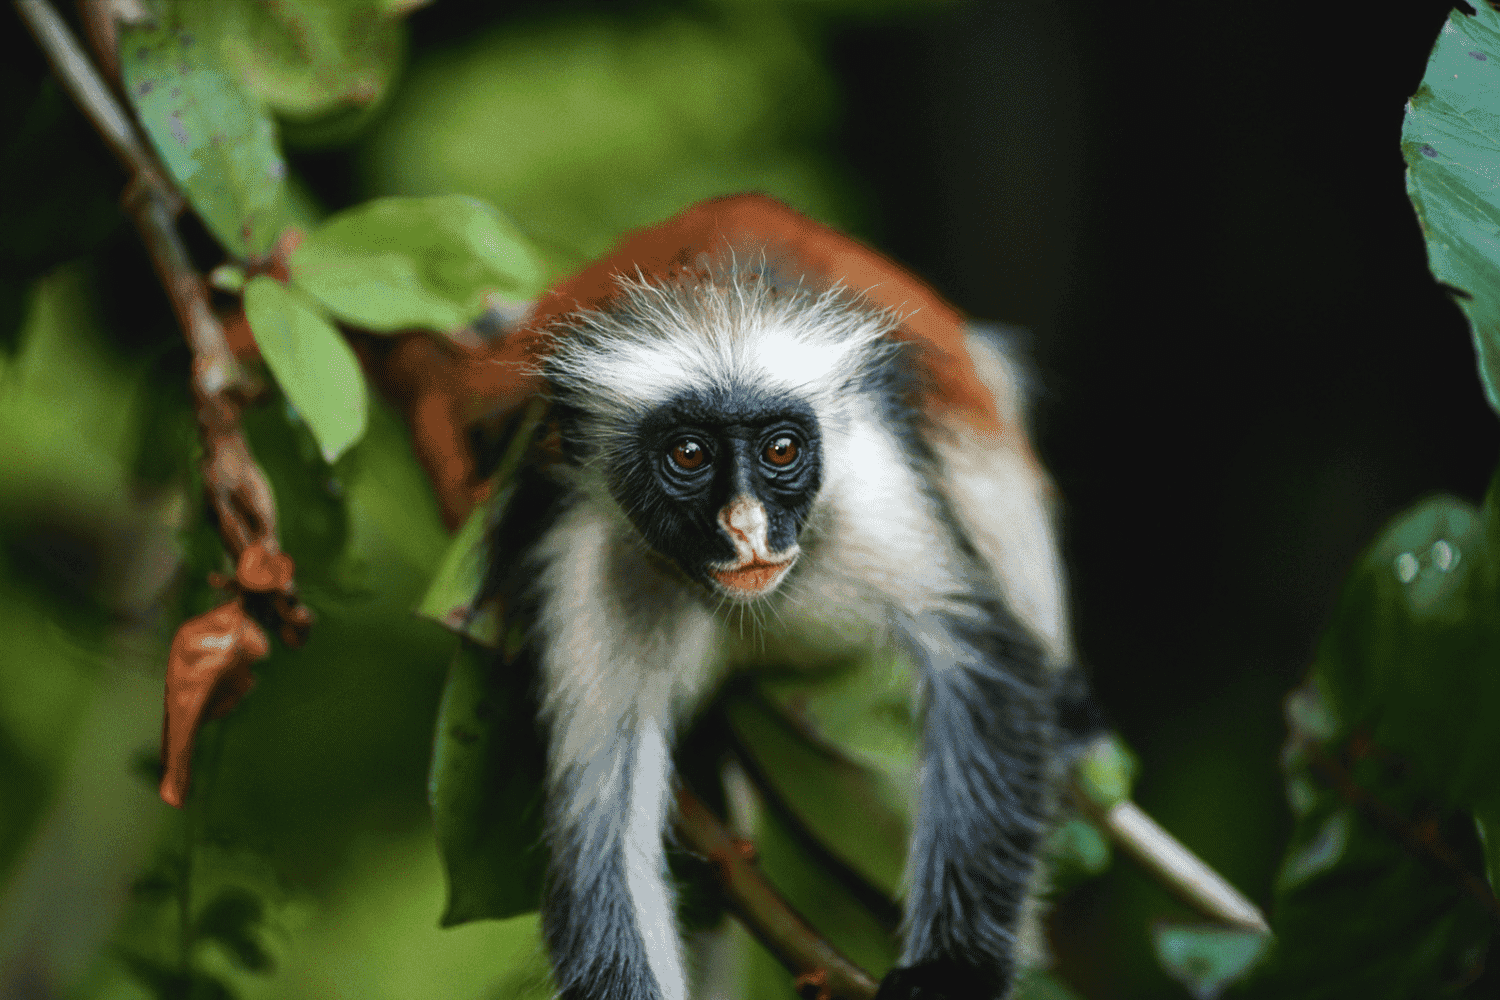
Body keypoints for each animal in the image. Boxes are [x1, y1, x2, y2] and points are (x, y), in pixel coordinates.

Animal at [483, 194, 1093, 1000]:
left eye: (780, 449)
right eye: (688, 454)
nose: (746, 527)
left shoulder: (870, 486)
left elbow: (986, 664)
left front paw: (948, 974)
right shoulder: (592, 554)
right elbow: (597, 831)